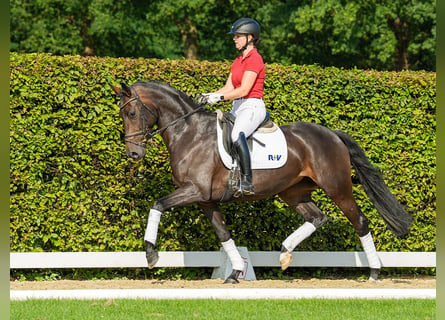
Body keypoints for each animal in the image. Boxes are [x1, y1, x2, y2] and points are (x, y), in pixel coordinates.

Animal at [111, 79, 410, 282]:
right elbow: (223, 234)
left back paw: (374, 272)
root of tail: (332, 134)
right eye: (123, 115)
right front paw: (236, 272)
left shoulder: (194, 191)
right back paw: (285, 253)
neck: (189, 133)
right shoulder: (206, 200)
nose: (133, 154)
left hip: (337, 188)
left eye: (132, 113)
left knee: (360, 221)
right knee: (317, 217)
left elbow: (158, 204)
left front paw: (151, 255)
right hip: (293, 192)